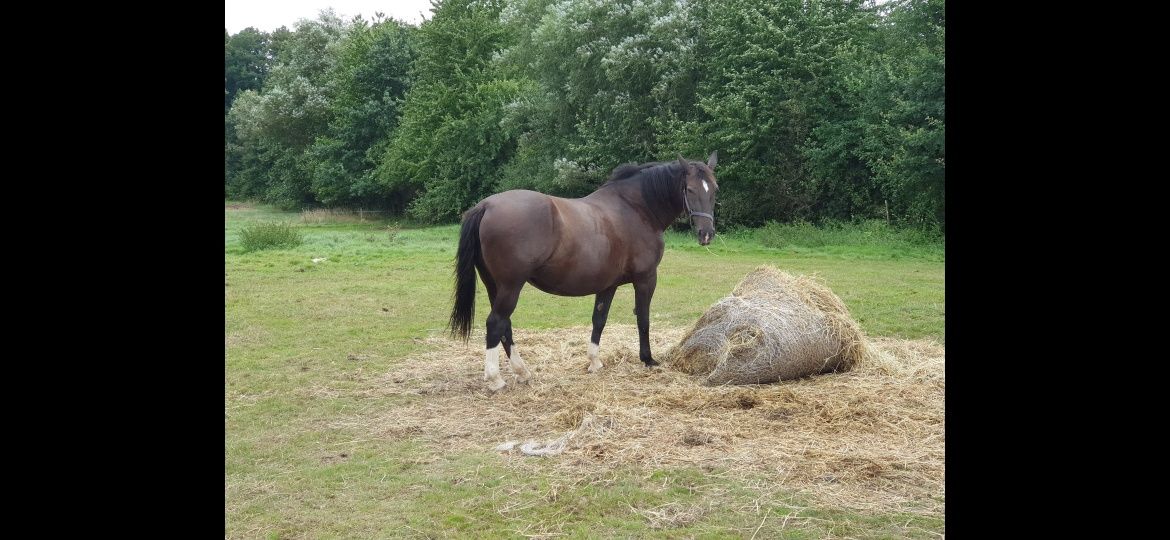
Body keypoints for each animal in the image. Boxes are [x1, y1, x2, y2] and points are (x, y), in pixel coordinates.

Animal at [451, 151, 716, 388]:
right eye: (689, 190)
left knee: (505, 326)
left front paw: (594, 362)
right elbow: (643, 318)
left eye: (714, 189)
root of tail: (486, 205)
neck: (636, 209)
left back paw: (522, 372)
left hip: (494, 286)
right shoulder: (646, 279)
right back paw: (495, 379)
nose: (706, 234)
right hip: (510, 286)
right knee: (496, 323)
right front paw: (648, 359)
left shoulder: (608, 285)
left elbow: (599, 319)